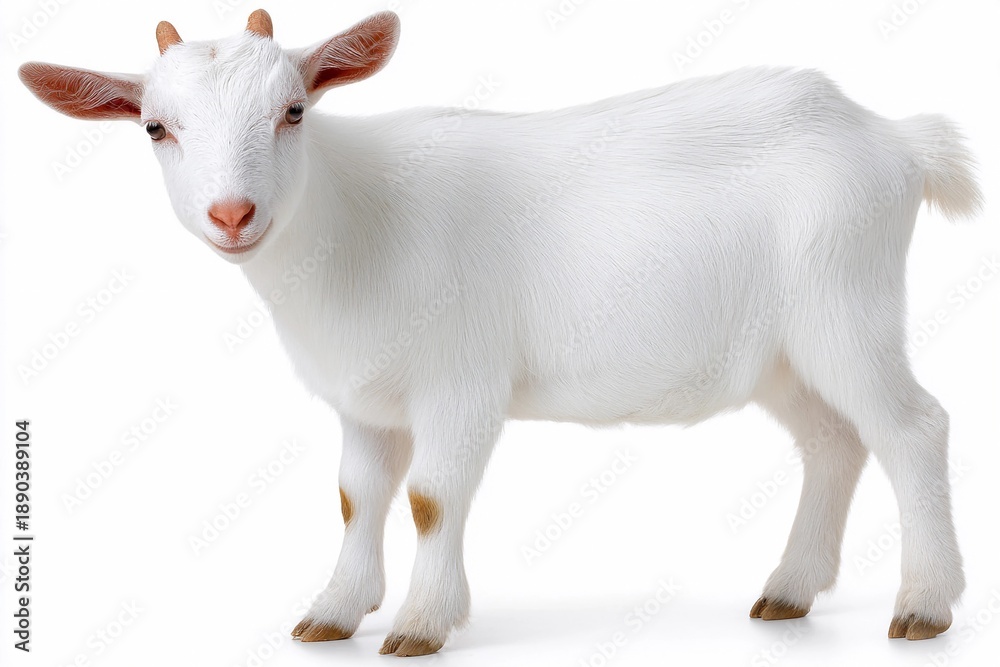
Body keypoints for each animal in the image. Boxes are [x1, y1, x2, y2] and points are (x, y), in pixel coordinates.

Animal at [19, 9, 981, 656]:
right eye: (156, 127)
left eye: (293, 111)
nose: (232, 213)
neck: (359, 221)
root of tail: (894, 138)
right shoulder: (365, 399)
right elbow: (356, 495)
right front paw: (333, 610)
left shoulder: (461, 382)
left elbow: (431, 497)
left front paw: (419, 623)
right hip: (783, 350)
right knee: (832, 441)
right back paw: (790, 589)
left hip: (844, 304)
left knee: (912, 426)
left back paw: (926, 603)